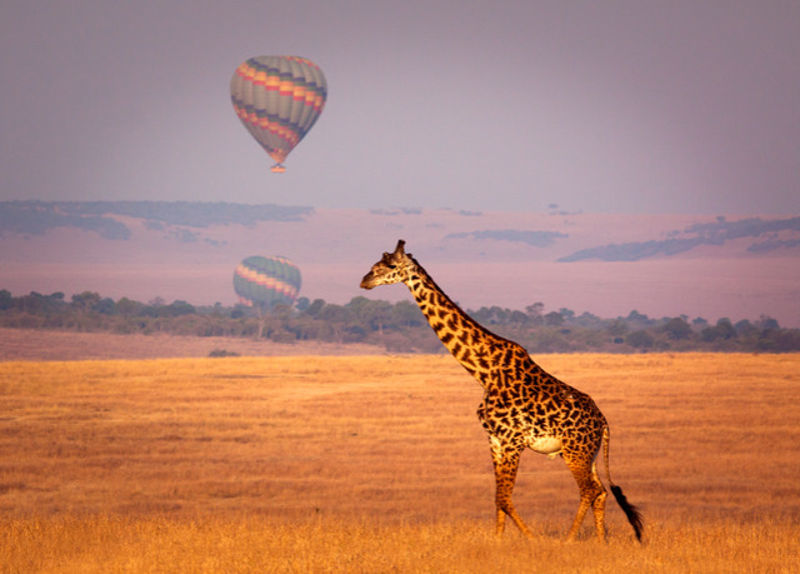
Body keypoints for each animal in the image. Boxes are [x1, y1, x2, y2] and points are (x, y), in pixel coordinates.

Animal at [362, 240, 644, 544]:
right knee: (600, 491)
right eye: (376, 263)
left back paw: (569, 539)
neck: (484, 371)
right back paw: (601, 540)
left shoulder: (511, 441)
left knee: (589, 490)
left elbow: (506, 499)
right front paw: (498, 540)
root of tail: (603, 422)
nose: (365, 281)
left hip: (575, 451)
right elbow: (498, 498)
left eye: (390, 265)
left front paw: (531, 539)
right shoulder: (495, 440)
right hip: (586, 453)